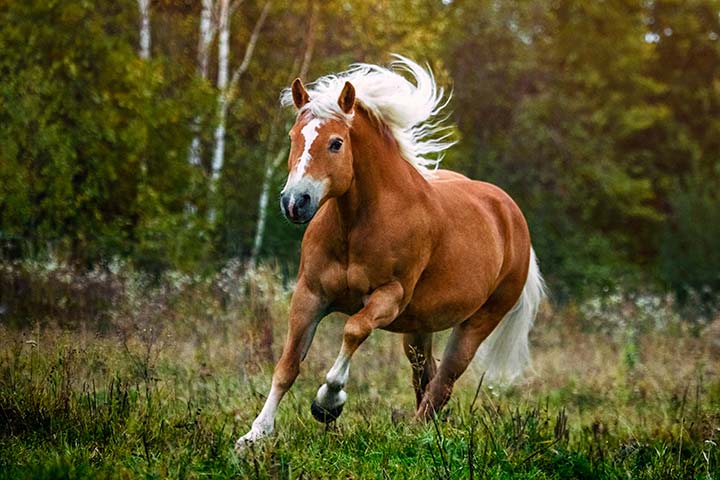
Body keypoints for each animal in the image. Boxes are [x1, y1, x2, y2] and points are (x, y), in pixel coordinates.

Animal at [233, 56, 544, 450]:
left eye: (336, 143)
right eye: (293, 137)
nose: (294, 202)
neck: (357, 223)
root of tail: (510, 214)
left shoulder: (389, 297)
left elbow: (353, 330)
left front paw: (328, 403)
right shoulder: (309, 295)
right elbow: (287, 365)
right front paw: (255, 434)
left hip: (479, 322)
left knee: (443, 382)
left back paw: (418, 437)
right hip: (418, 329)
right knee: (425, 377)